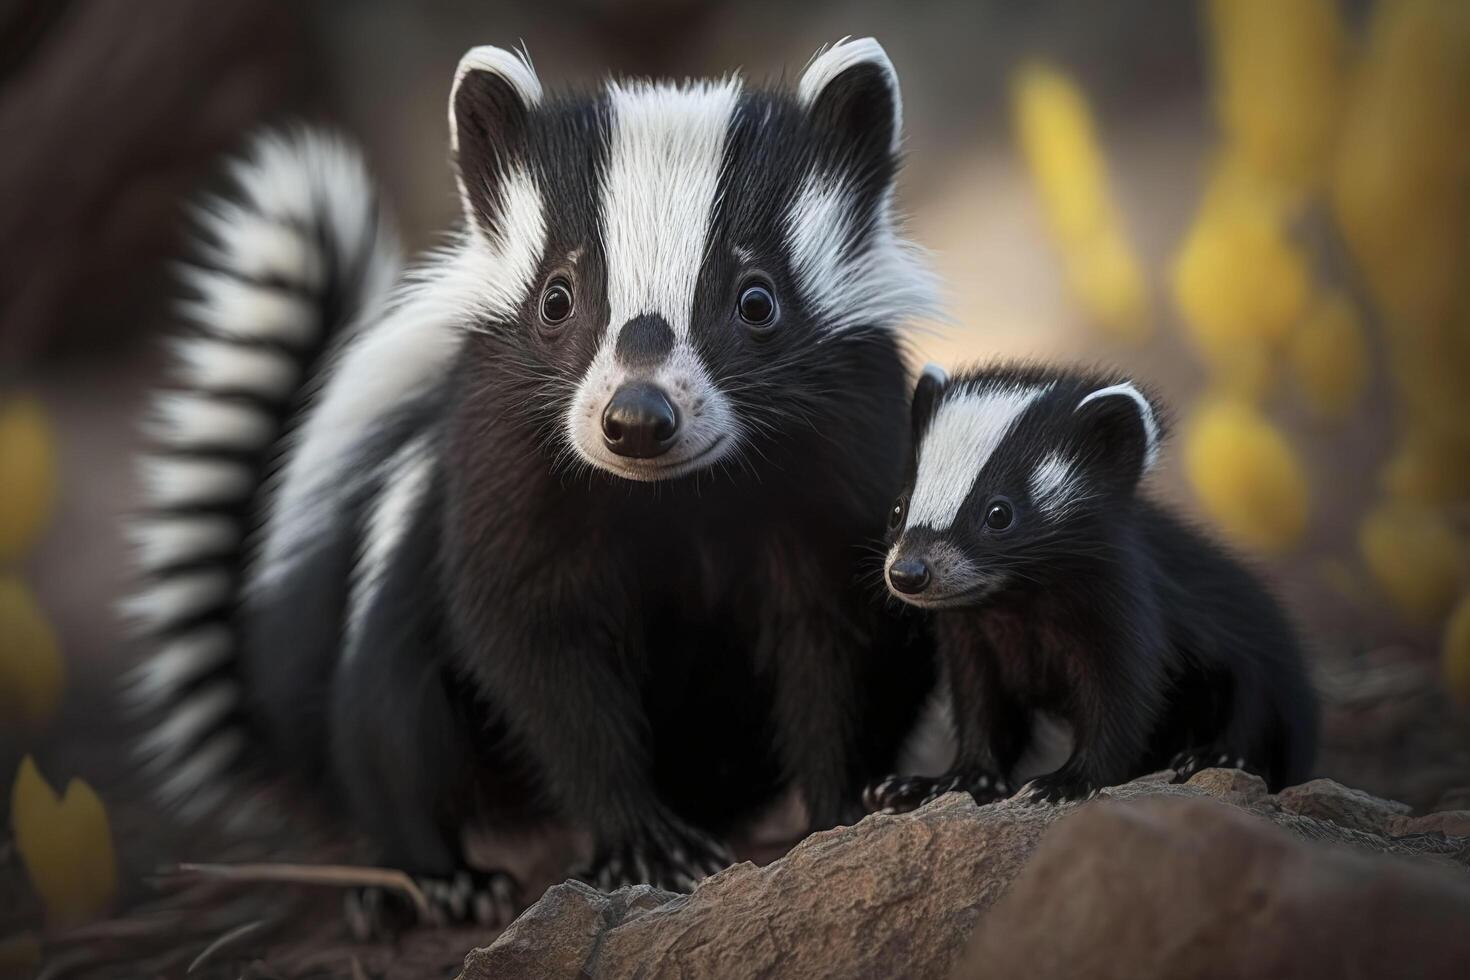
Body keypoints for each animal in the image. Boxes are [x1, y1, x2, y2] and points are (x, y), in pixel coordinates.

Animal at [864, 364, 1317, 811]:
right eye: (898, 509)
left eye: (999, 513)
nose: (908, 572)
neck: (1021, 606)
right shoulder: (972, 639)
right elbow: (982, 708)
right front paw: (939, 782)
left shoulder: (1124, 611)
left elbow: (1122, 703)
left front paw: (1066, 782)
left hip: (1260, 667)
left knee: (1252, 704)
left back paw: (1211, 756)